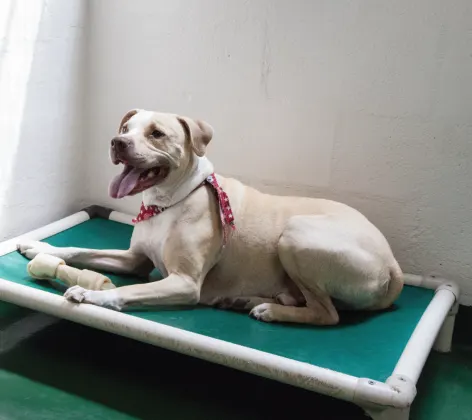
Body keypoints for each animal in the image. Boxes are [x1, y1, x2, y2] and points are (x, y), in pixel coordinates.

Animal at [17, 109, 402, 324]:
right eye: (126, 129)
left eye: (157, 134)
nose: (117, 142)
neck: (169, 202)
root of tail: (392, 263)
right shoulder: (134, 260)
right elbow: (79, 250)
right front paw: (39, 248)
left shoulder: (184, 282)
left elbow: (128, 291)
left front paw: (91, 294)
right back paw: (249, 301)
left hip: (296, 236)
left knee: (327, 314)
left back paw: (272, 311)